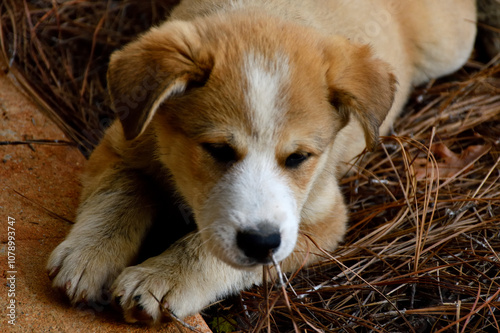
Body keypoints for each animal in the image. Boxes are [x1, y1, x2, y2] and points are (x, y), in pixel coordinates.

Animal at [47, 0, 476, 322]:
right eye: (218, 150)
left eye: (299, 157)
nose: (262, 241)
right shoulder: (123, 144)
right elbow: (117, 198)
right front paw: (88, 258)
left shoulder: (320, 220)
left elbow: (210, 251)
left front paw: (160, 279)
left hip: (449, 45)